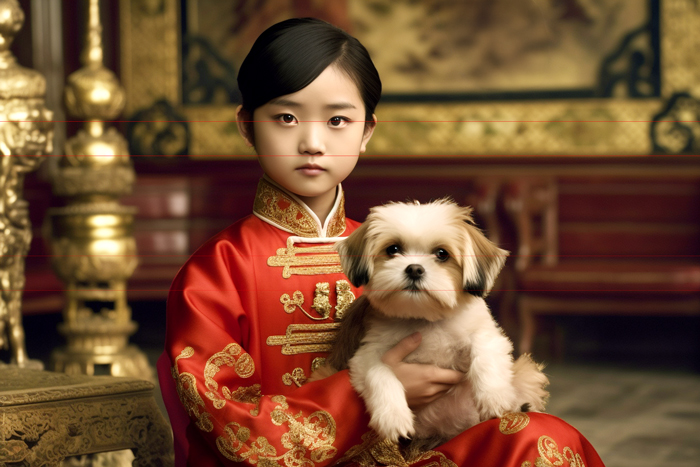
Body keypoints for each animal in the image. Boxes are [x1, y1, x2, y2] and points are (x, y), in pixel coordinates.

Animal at [314, 199, 548, 448]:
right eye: (393, 249)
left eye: (442, 254)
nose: (415, 268)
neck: (425, 318)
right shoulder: (365, 355)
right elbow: (380, 373)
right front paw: (393, 416)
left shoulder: (485, 333)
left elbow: (484, 352)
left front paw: (493, 396)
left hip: (525, 372)